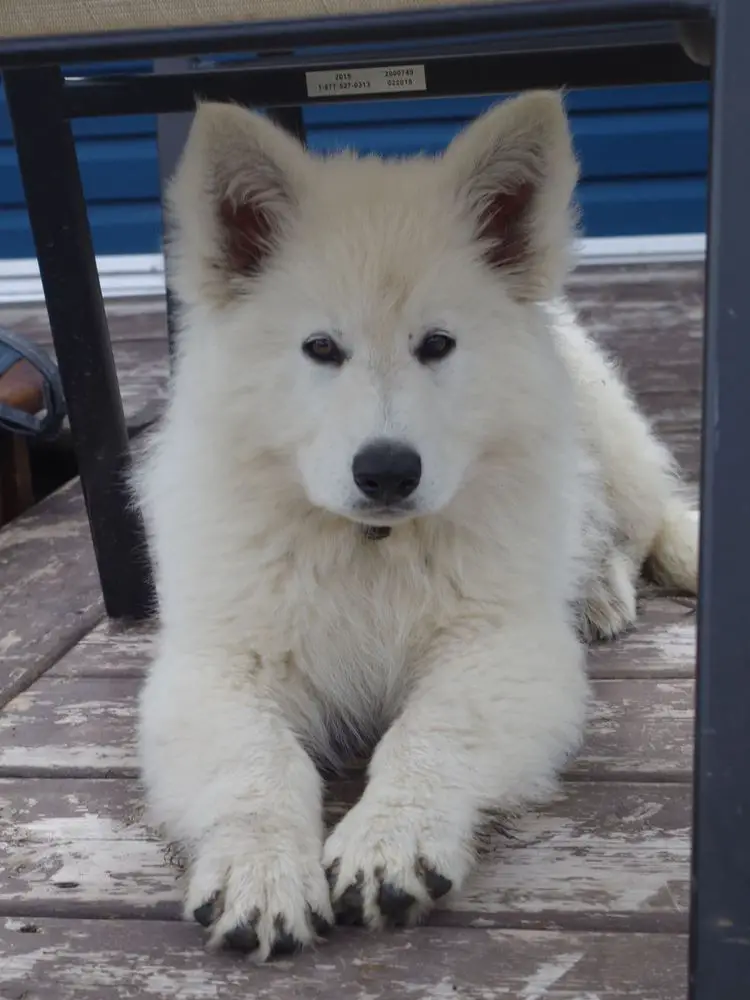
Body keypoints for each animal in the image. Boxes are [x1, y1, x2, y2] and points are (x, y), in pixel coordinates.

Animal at [136, 92, 698, 960]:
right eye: (321, 347)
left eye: (437, 345)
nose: (388, 471)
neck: (369, 544)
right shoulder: (218, 664)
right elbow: (258, 761)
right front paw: (260, 872)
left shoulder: (500, 648)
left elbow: (429, 732)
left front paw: (389, 843)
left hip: (604, 433)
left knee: (643, 521)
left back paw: (602, 590)